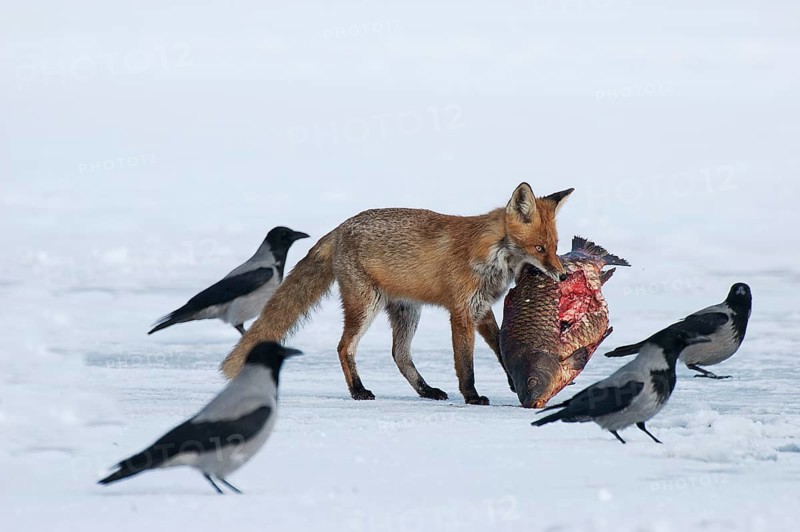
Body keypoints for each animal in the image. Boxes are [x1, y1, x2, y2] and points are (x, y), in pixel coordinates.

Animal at [220, 182, 573, 405]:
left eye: (555, 247)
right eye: (539, 249)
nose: (563, 274)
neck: (492, 256)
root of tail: (341, 227)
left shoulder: (481, 308)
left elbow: (500, 347)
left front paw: (515, 381)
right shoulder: (461, 311)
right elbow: (466, 363)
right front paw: (472, 397)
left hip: (406, 311)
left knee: (399, 355)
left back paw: (426, 390)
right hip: (366, 305)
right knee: (344, 347)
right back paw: (359, 391)